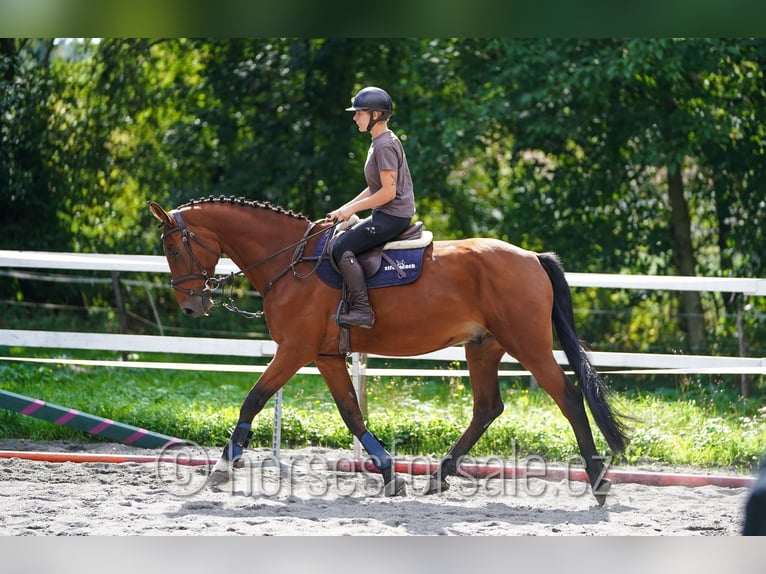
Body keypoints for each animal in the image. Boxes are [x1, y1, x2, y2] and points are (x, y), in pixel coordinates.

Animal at [149, 196, 629, 505]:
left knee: (568, 398)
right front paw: (387, 473)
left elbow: (254, 399)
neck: (290, 262)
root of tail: (532, 256)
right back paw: (438, 477)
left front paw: (221, 467)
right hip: (483, 348)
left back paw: (598, 483)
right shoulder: (324, 355)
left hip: (527, 343)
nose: (192, 306)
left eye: (172, 247)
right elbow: (351, 413)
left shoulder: (294, 349)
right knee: (487, 408)